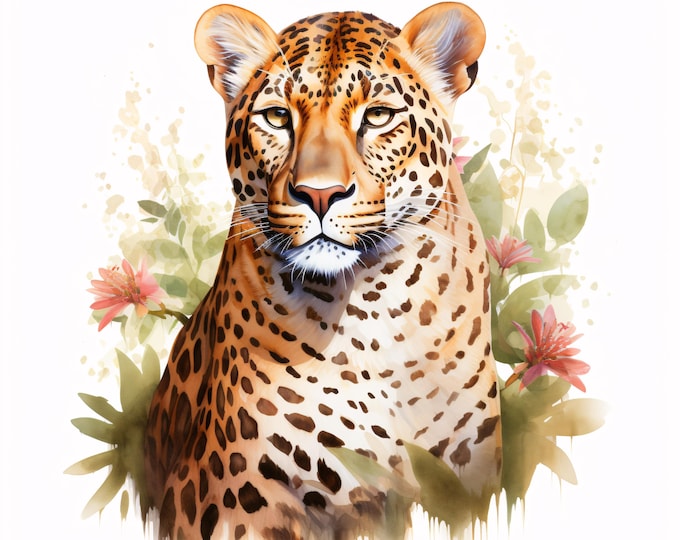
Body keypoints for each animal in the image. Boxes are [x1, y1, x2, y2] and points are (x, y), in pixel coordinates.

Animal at [143, 3, 501, 539]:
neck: (373, 311)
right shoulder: (234, 495)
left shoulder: (469, 477)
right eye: (277, 117)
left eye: (377, 116)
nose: (318, 194)